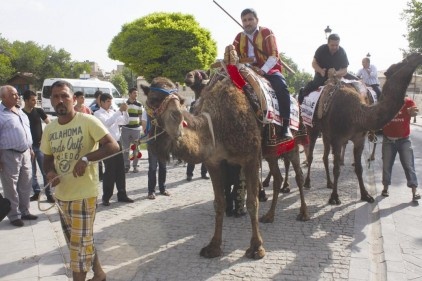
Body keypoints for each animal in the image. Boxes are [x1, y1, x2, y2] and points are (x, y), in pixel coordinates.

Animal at [142, 64, 310, 258]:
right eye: (152, 99)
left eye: (181, 100)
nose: (177, 118)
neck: (217, 124)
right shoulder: (213, 162)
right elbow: (219, 203)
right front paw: (213, 246)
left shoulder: (251, 158)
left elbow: (252, 202)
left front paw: (256, 247)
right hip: (271, 152)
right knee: (277, 177)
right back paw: (269, 216)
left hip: (293, 144)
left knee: (298, 174)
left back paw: (304, 213)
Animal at [304, 52, 422, 203]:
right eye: (401, 62)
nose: (417, 55)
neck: (358, 114)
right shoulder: (337, 139)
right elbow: (336, 168)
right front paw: (335, 197)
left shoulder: (359, 138)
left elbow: (359, 168)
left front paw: (366, 195)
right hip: (312, 127)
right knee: (311, 154)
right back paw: (307, 182)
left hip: (325, 132)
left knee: (324, 156)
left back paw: (329, 183)